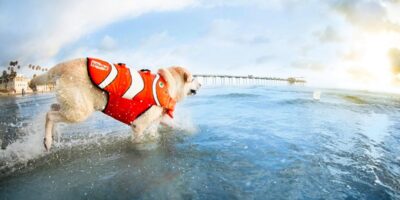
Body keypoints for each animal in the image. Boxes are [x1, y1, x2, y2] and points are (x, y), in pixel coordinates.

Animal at [29, 57, 202, 150]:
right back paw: (48, 140)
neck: (166, 85)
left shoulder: (157, 118)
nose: (201, 84)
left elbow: (169, 126)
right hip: (79, 112)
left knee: (53, 108)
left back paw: (53, 134)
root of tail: (65, 65)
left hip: (72, 104)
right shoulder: (139, 125)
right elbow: (138, 139)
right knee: (50, 115)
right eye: (193, 78)